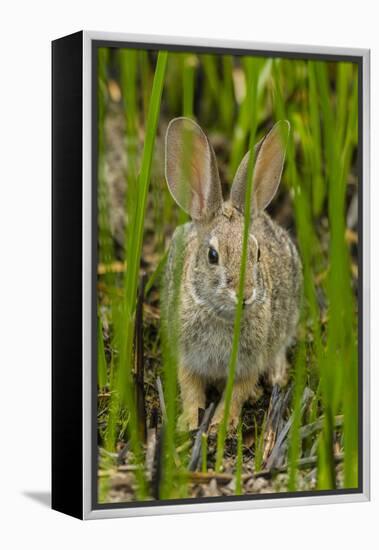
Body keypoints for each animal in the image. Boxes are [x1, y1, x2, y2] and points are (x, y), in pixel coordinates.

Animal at [163, 118, 302, 434]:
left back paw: (276, 376)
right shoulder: (187, 356)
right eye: (213, 256)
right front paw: (189, 423)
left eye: (257, 253)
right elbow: (190, 388)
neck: (220, 314)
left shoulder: (249, 362)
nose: (246, 294)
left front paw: (220, 425)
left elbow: (236, 393)